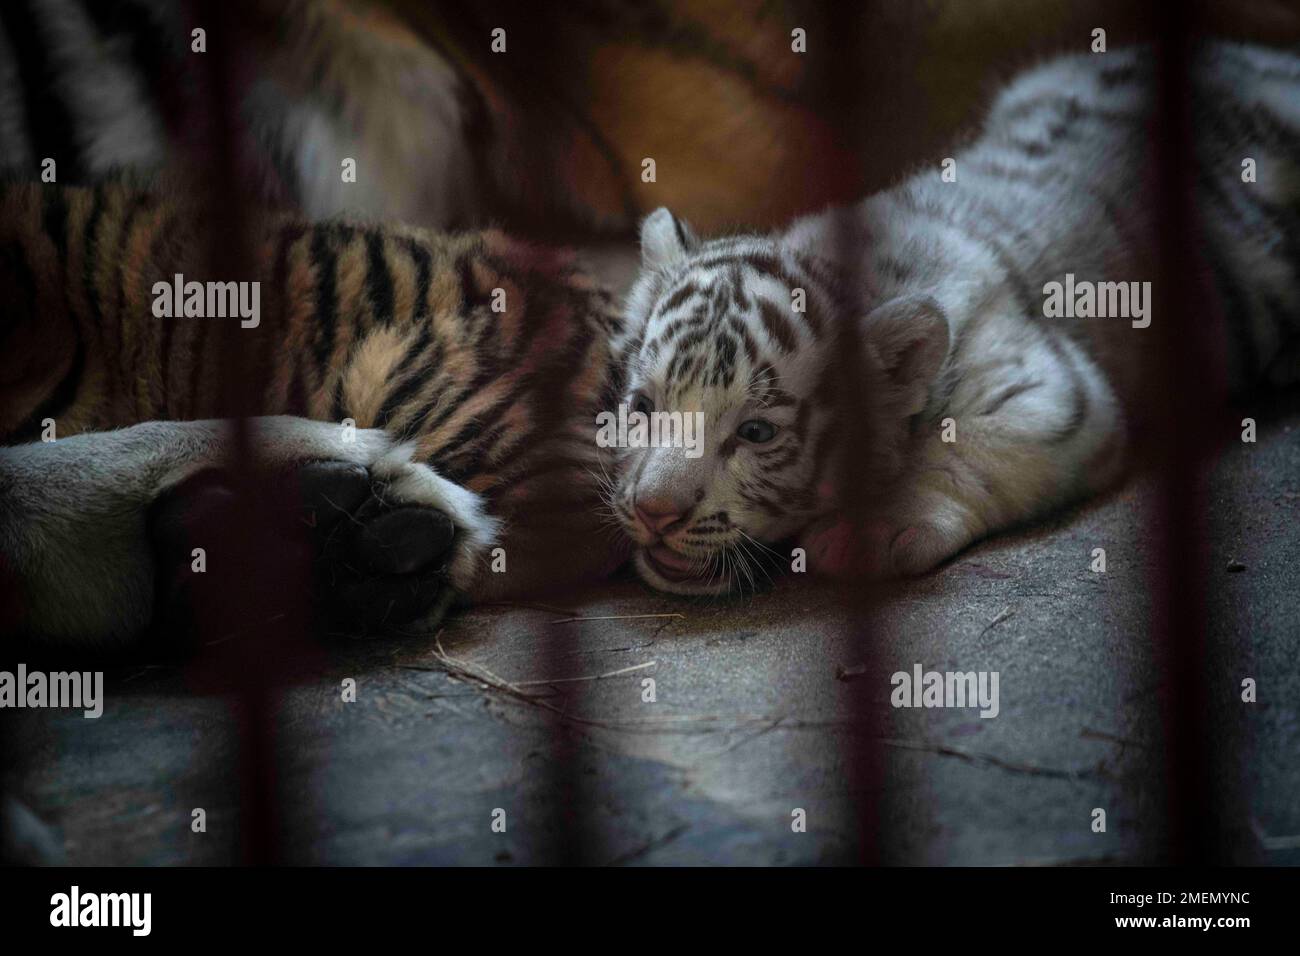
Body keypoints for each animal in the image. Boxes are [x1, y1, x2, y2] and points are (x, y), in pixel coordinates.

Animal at [605, 41, 1300, 594]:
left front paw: (870, 530)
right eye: (642, 407)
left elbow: (964, 448)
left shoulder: (1055, 389)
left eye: (756, 433)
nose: (654, 511)